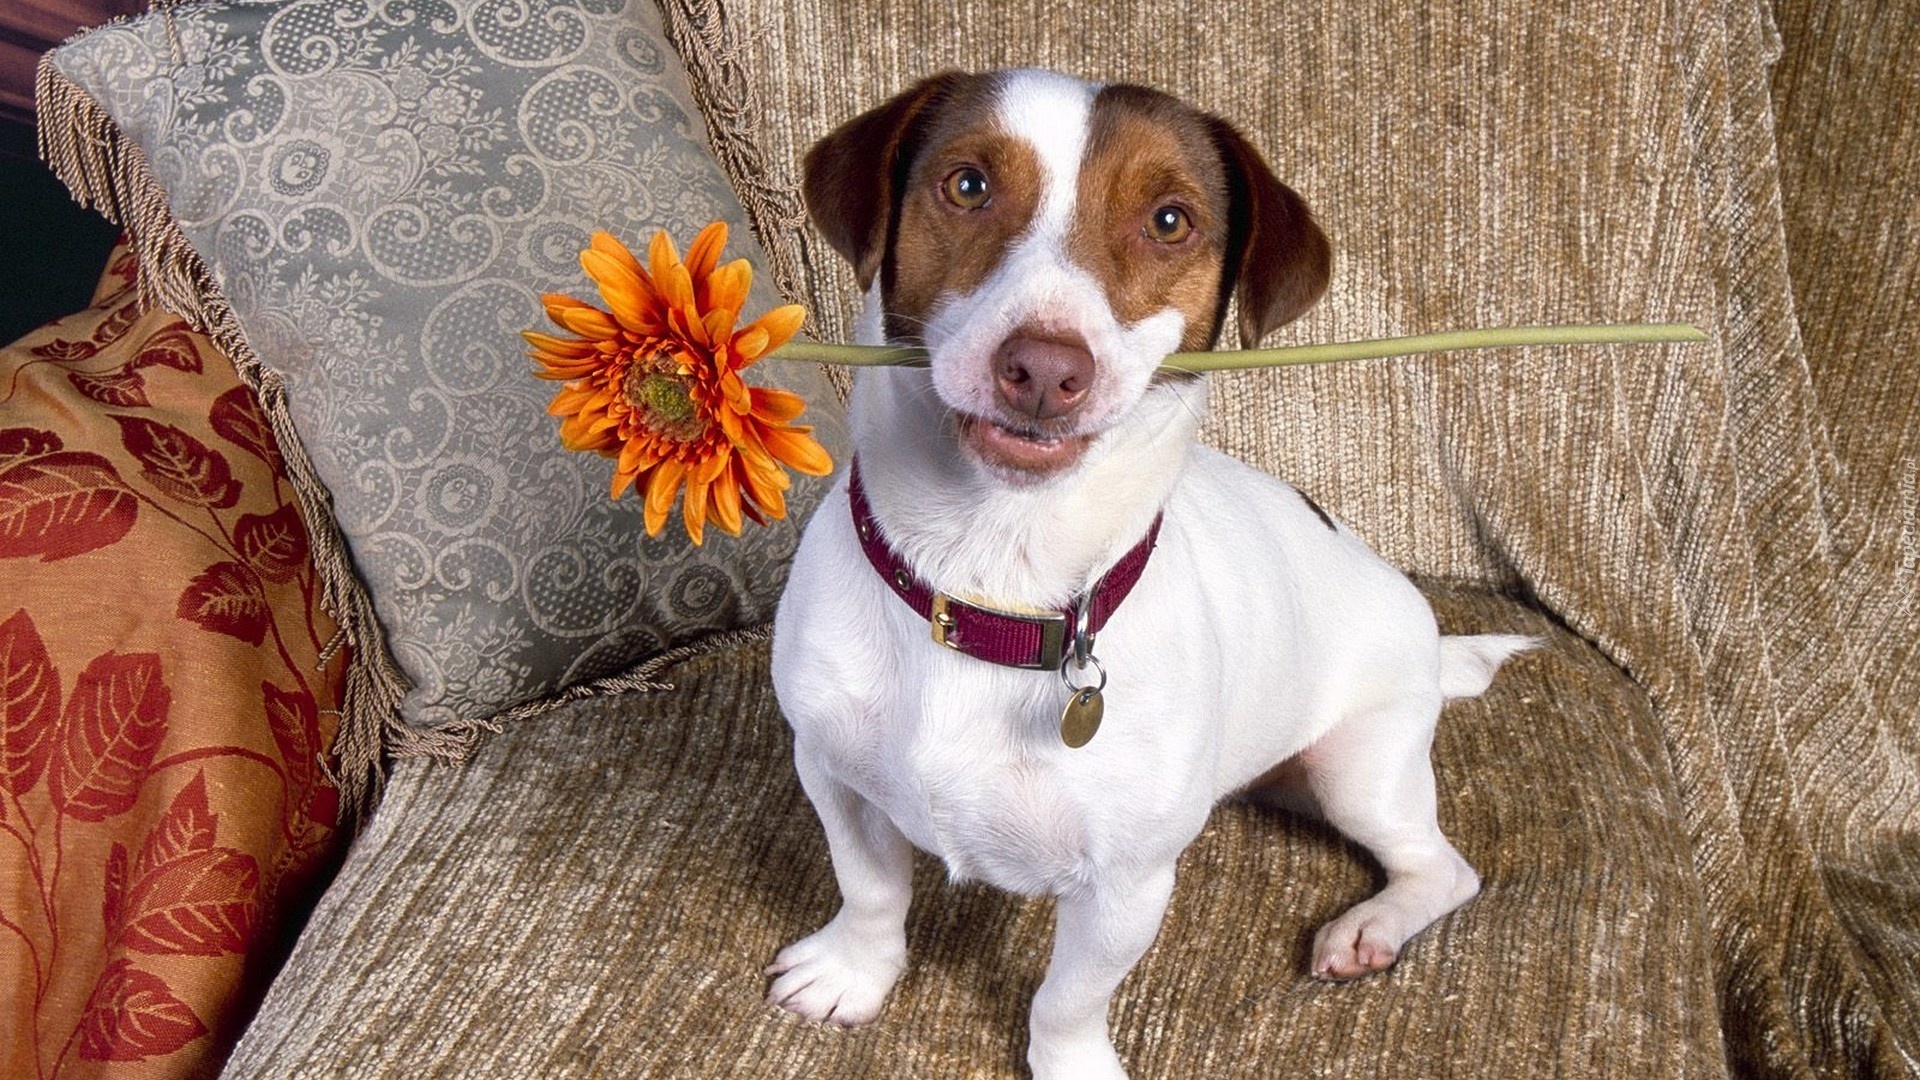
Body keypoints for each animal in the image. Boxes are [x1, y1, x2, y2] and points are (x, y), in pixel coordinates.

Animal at [764, 71, 1528, 1068]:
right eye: (968, 185)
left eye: (1170, 221)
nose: (1043, 369)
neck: (991, 584)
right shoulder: (835, 778)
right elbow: (871, 891)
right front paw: (853, 973)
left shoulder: (1126, 885)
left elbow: (1067, 1000)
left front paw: (1070, 1065)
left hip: (1362, 769)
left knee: (1442, 866)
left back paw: (1374, 926)